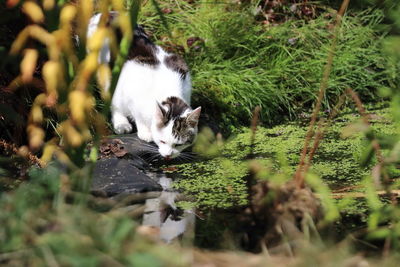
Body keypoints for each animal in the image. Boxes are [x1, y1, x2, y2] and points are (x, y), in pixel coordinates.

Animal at [87, 13, 200, 160]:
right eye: (162, 141)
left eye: (178, 144)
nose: (168, 156)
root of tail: (106, 14)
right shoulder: (131, 94)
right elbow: (137, 115)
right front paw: (146, 133)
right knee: (113, 101)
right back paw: (121, 124)